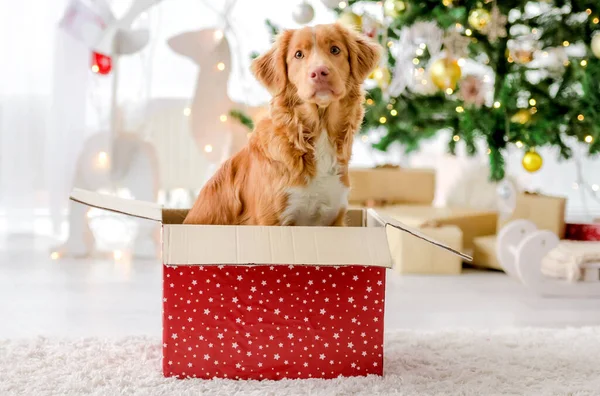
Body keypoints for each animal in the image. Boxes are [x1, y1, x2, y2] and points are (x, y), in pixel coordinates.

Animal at [183, 23, 380, 227]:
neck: (317, 132)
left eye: (335, 50)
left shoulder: (335, 219)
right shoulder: (271, 220)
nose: (319, 72)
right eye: (298, 54)